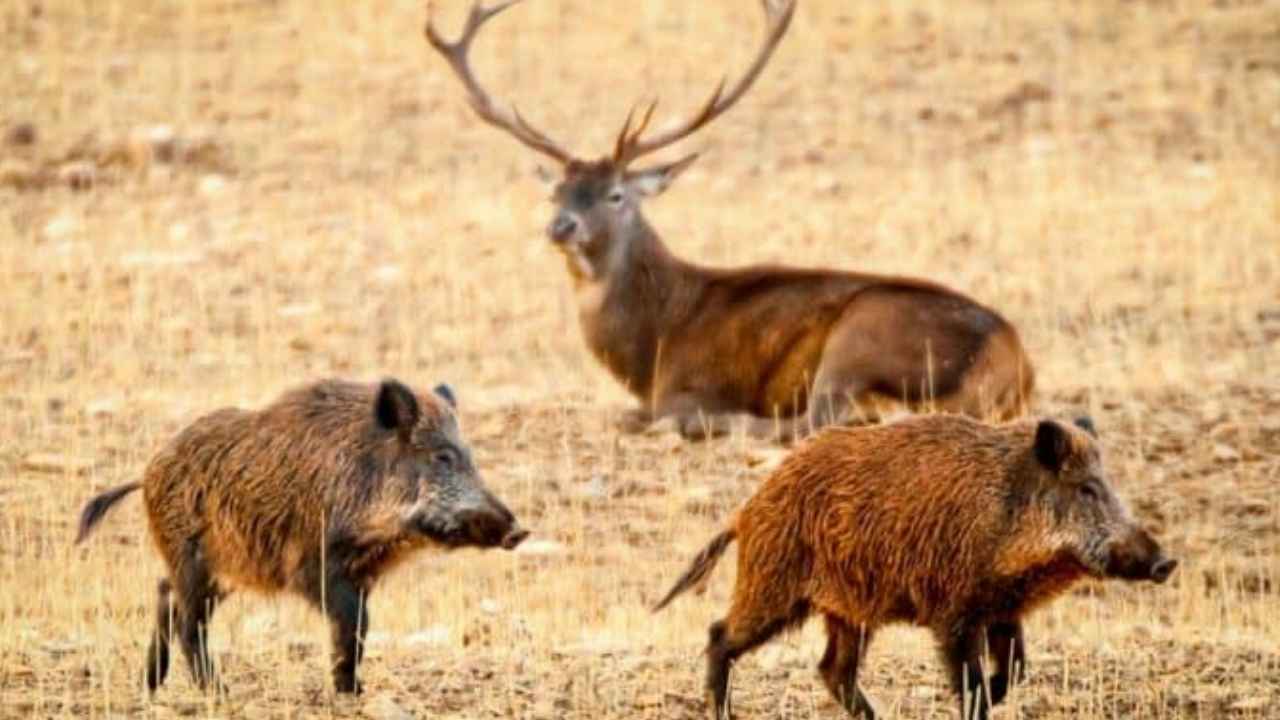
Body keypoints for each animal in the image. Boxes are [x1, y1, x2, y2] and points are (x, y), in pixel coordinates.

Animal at [425, 0, 1035, 441]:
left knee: (820, 419)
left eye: (616, 194)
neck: (654, 339)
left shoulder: (687, 381)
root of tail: (1011, 356)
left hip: (862, 334)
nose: (561, 227)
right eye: (557, 191)